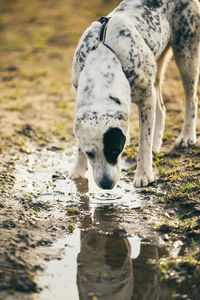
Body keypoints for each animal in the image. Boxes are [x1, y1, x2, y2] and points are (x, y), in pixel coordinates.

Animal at [69, 0, 199, 189]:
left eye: (116, 150)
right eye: (90, 153)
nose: (106, 184)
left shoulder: (145, 99)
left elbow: (144, 142)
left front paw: (143, 174)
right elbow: (79, 141)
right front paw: (78, 169)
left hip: (186, 54)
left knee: (191, 98)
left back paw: (187, 136)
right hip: (157, 65)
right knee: (161, 107)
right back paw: (157, 142)